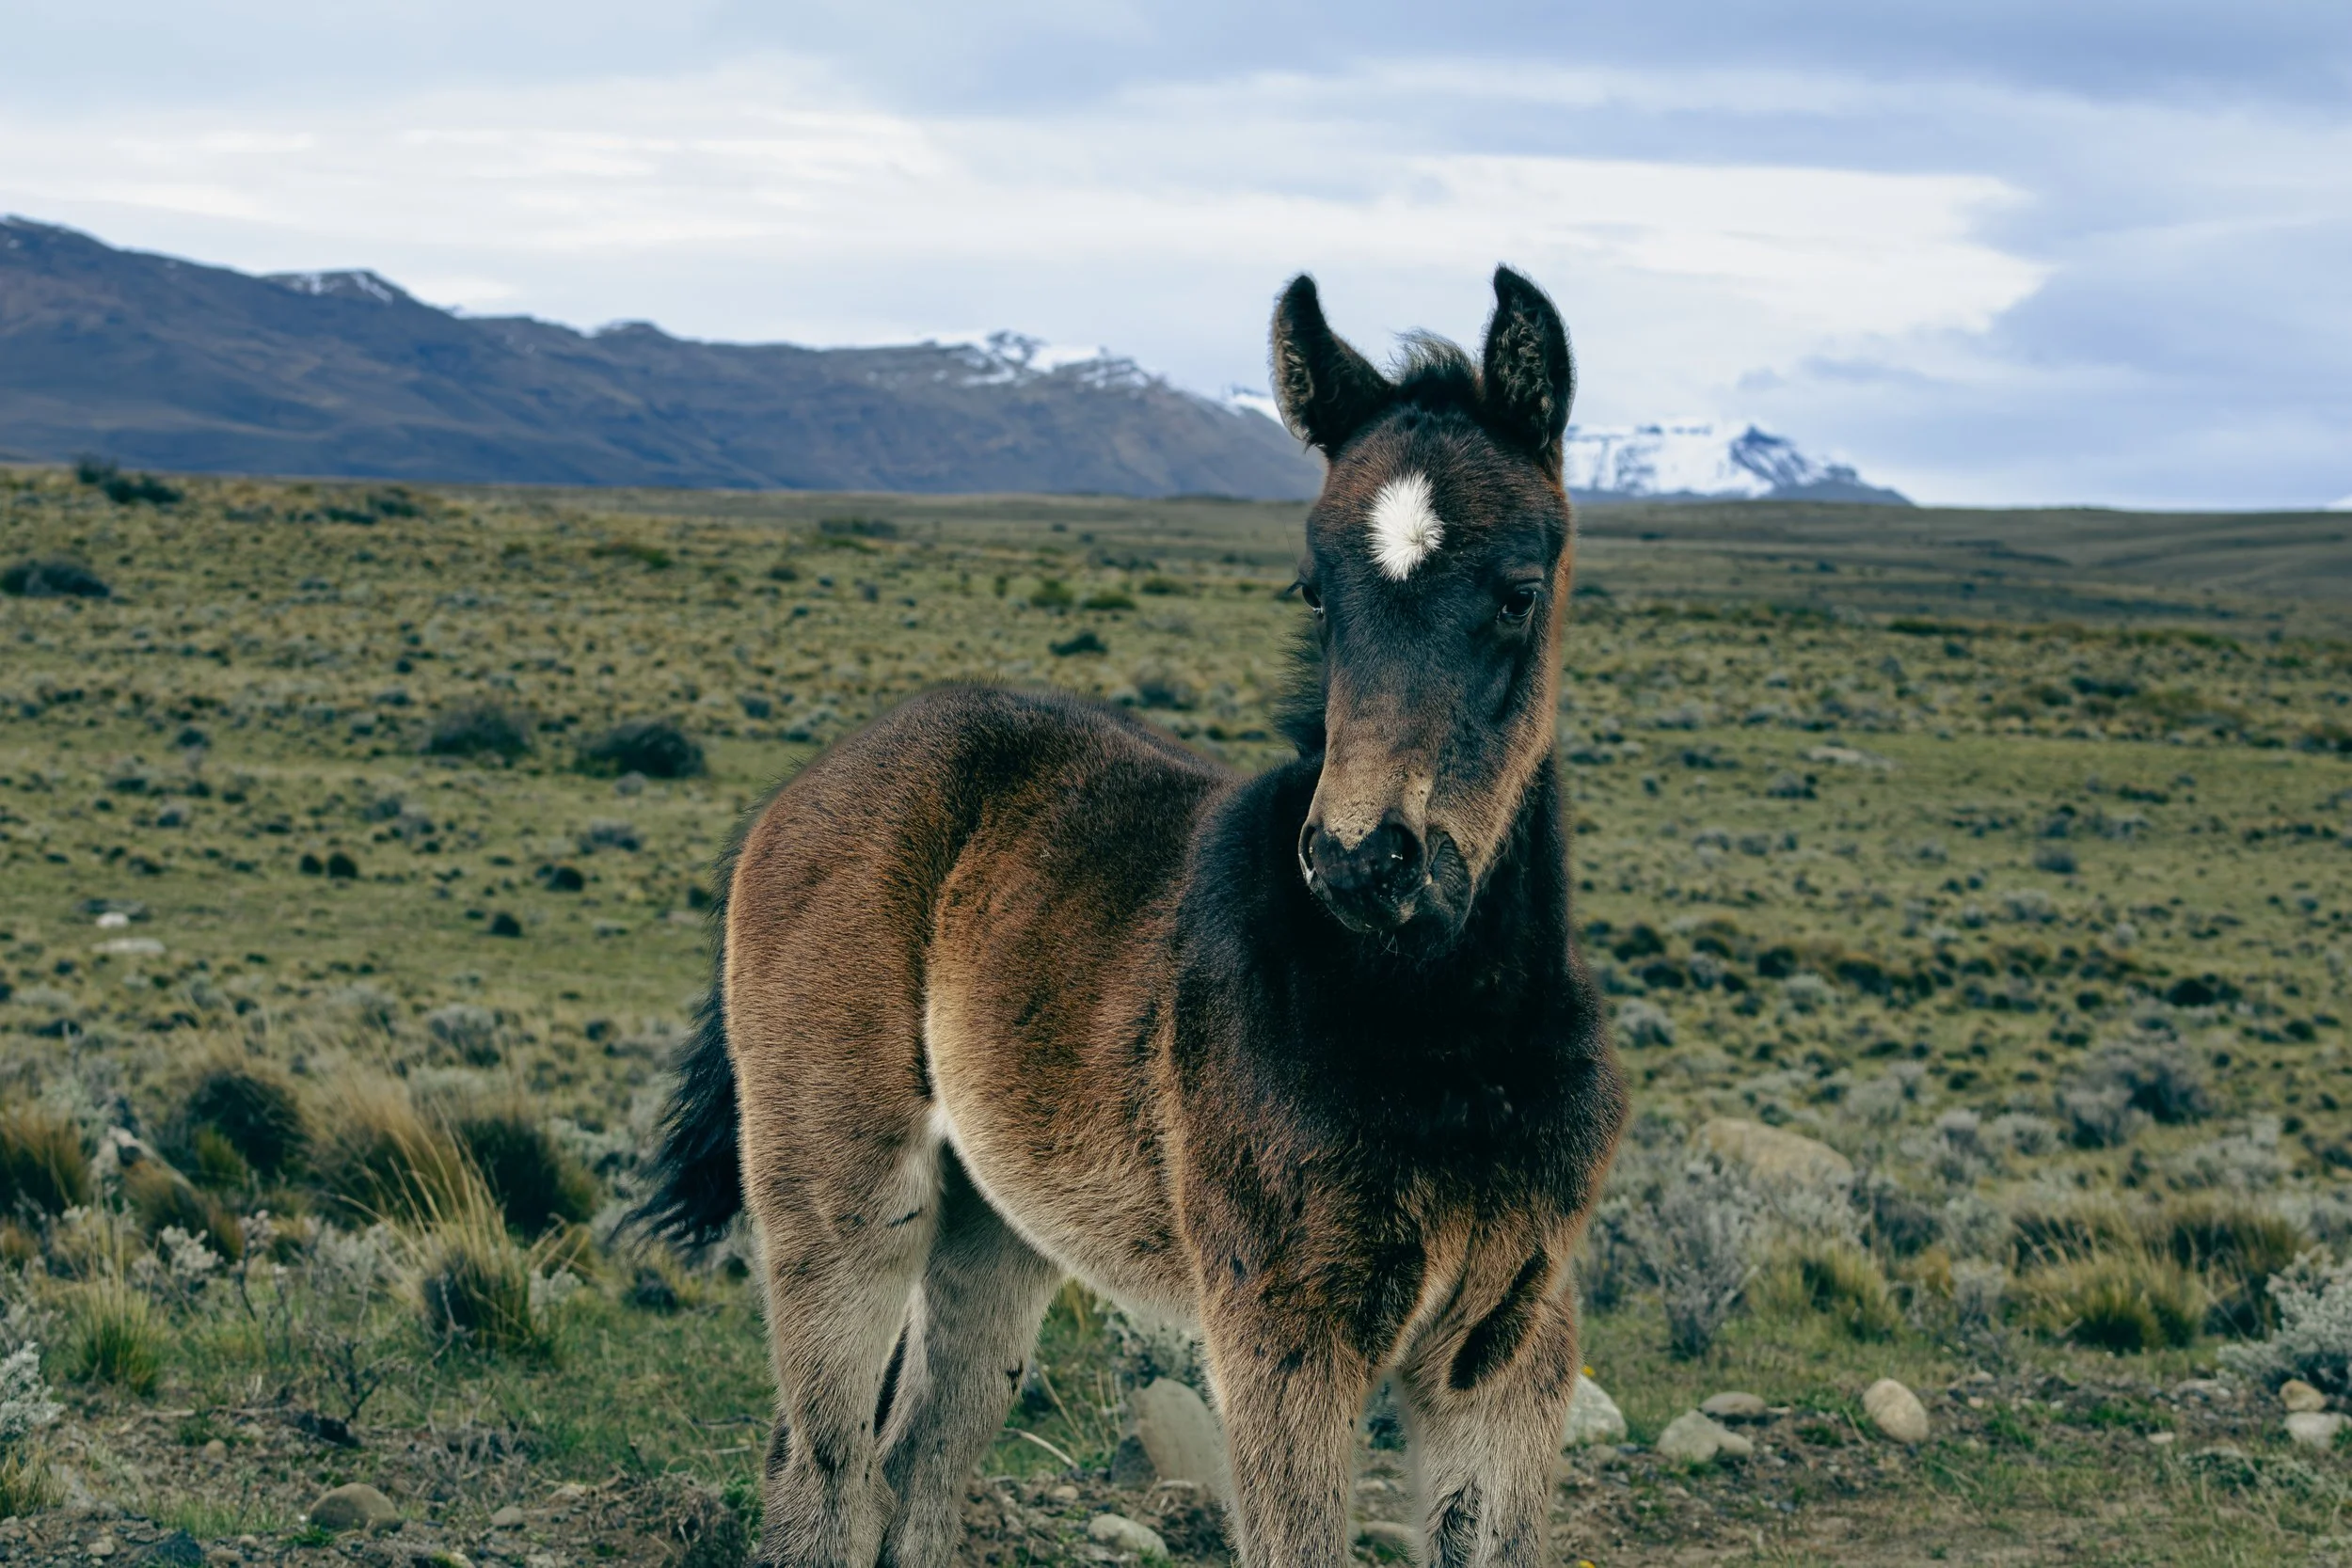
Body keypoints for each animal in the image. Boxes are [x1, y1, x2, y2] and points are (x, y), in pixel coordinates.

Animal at [634, 265, 1627, 1568]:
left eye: (1518, 591)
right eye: (1314, 592)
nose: (1361, 860)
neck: (1450, 1042)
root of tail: (796, 790)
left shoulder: (1505, 1347)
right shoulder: (1282, 1330)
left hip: (999, 1219)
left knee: (920, 1459)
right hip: (840, 1185)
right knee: (824, 1469)